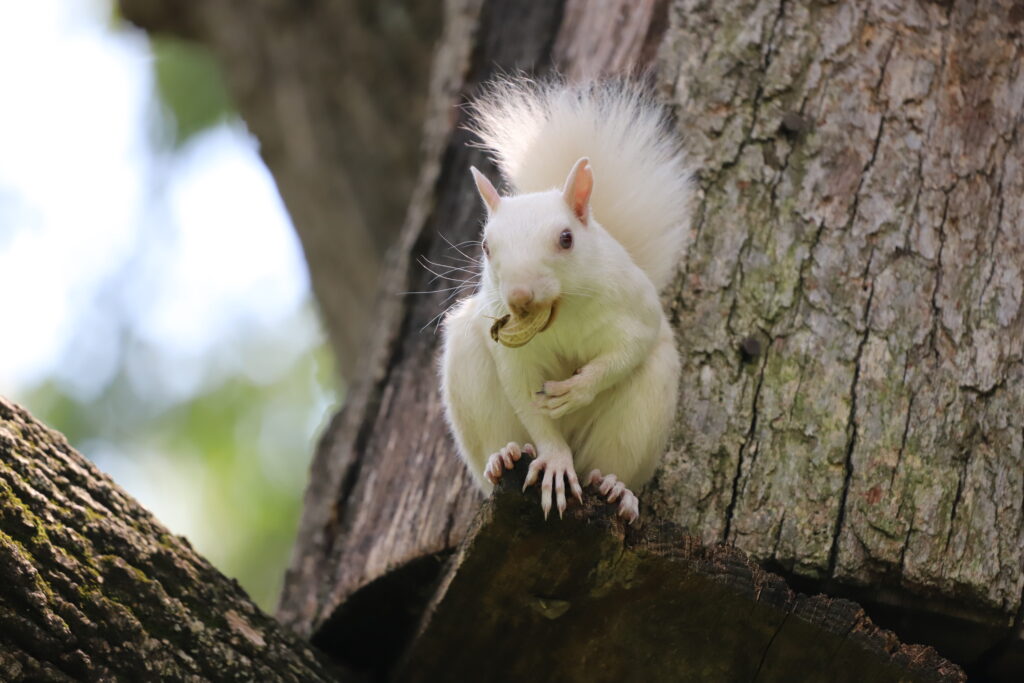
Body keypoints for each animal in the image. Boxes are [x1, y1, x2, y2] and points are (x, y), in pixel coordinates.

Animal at [436, 76, 692, 524]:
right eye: (486, 246)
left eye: (566, 239)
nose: (519, 296)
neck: (560, 317)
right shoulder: (514, 358)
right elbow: (526, 399)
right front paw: (555, 461)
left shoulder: (636, 309)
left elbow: (627, 351)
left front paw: (576, 390)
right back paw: (504, 456)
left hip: (639, 414)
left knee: (608, 463)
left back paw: (616, 489)